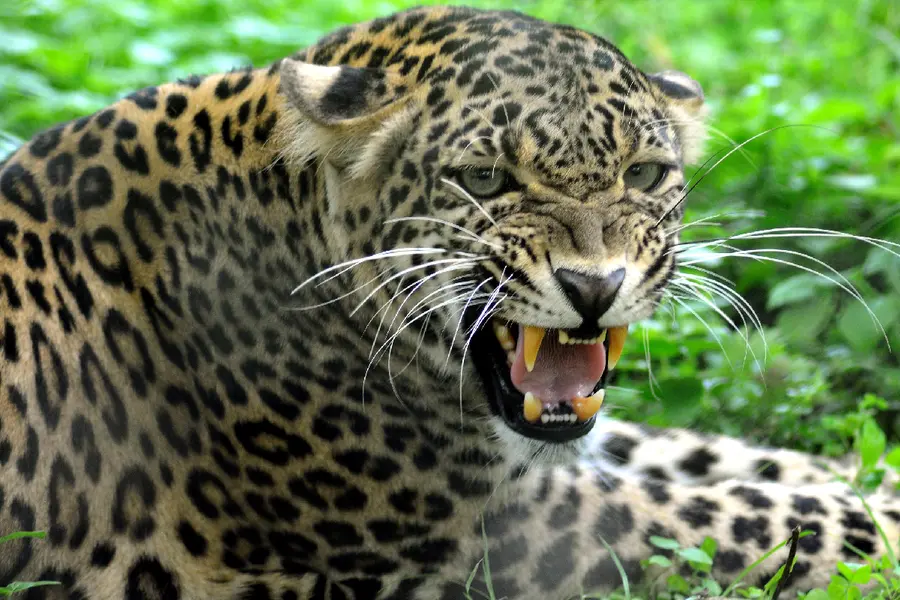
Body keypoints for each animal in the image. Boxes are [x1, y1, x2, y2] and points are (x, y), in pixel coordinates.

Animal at [1, 5, 898, 599]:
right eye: (485, 179)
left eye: (643, 174)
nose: (595, 287)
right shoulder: (521, 532)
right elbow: (765, 514)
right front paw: (875, 509)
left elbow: (715, 455)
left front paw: (859, 470)